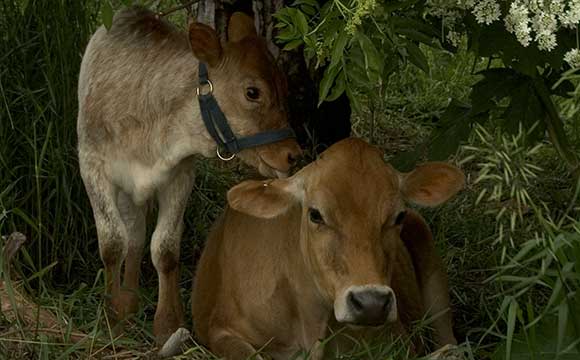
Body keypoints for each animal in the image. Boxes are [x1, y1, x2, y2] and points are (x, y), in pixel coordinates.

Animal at [76, 4, 300, 344]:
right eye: (252, 92)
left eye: (285, 87)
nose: (293, 154)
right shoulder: (92, 166)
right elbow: (113, 243)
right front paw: (111, 319)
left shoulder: (180, 174)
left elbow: (165, 248)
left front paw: (168, 325)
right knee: (132, 233)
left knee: (138, 234)